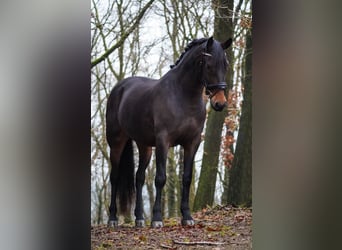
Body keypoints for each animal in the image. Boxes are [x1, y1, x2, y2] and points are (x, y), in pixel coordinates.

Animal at [105, 36, 231, 228]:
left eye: (226, 65)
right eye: (208, 65)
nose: (220, 103)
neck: (183, 96)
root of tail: (119, 88)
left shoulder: (192, 142)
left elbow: (186, 178)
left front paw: (187, 217)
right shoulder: (163, 142)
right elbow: (160, 178)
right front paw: (157, 219)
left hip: (144, 146)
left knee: (139, 178)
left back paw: (140, 219)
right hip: (116, 142)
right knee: (115, 177)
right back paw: (112, 219)